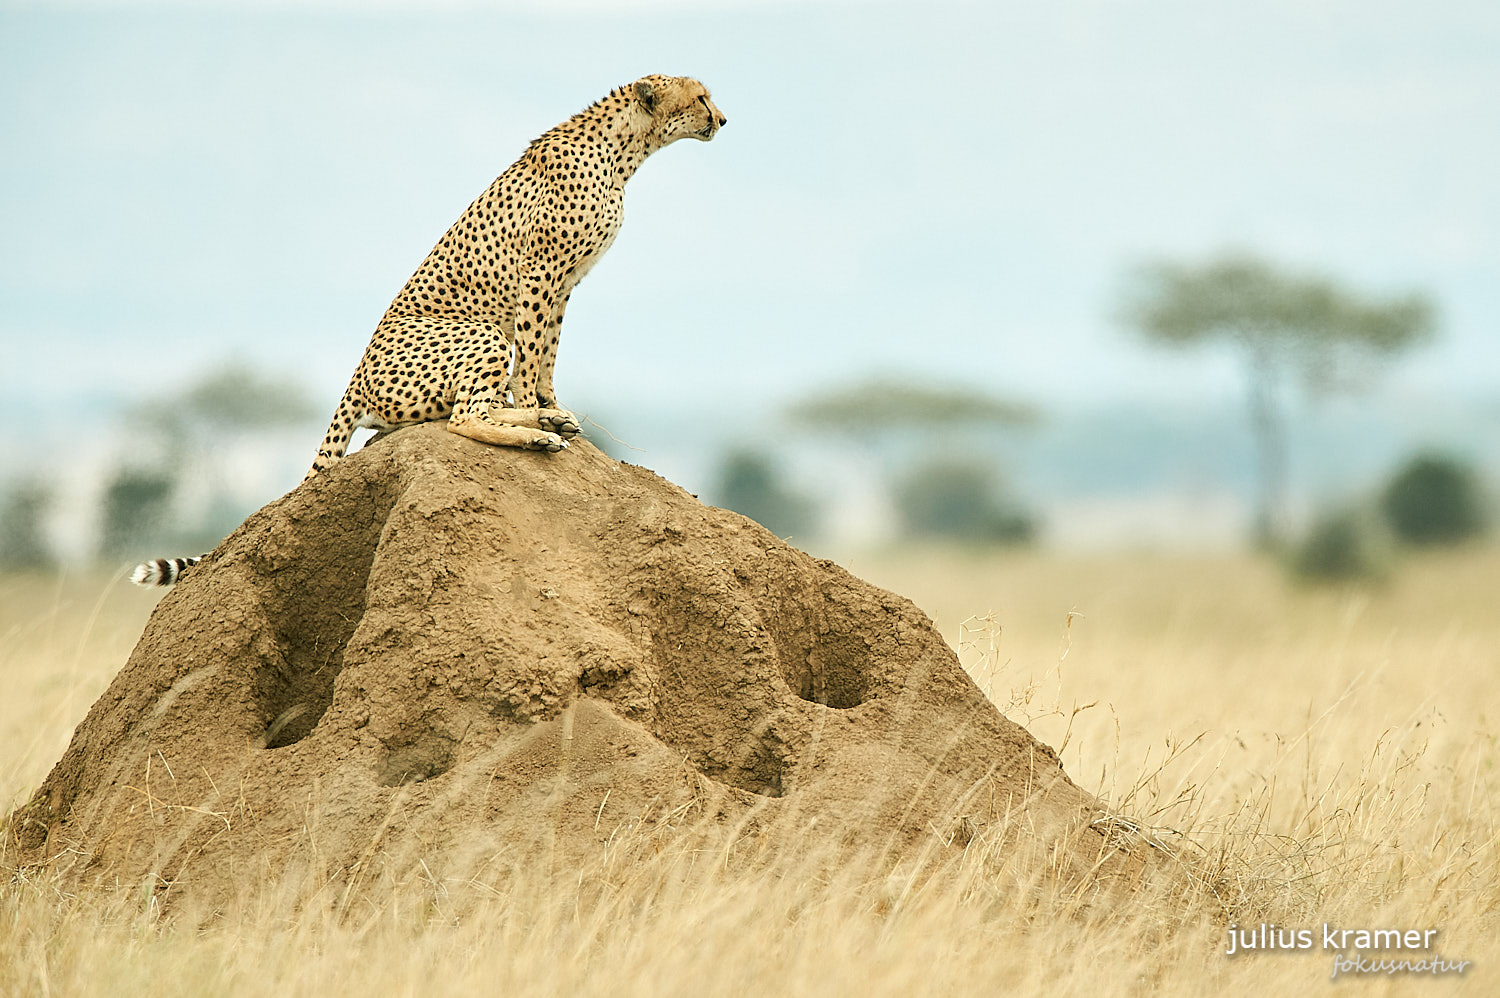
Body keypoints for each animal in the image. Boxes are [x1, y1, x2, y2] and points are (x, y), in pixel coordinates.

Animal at [132, 79, 729, 591]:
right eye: (700, 96)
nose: (722, 119)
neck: (623, 149)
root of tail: (355, 378)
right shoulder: (541, 274)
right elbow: (534, 354)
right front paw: (539, 405)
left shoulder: (564, 284)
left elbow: (549, 353)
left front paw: (551, 403)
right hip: (480, 332)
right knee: (464, 416)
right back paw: (537, 432)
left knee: (448, 415)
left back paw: (544, 422)